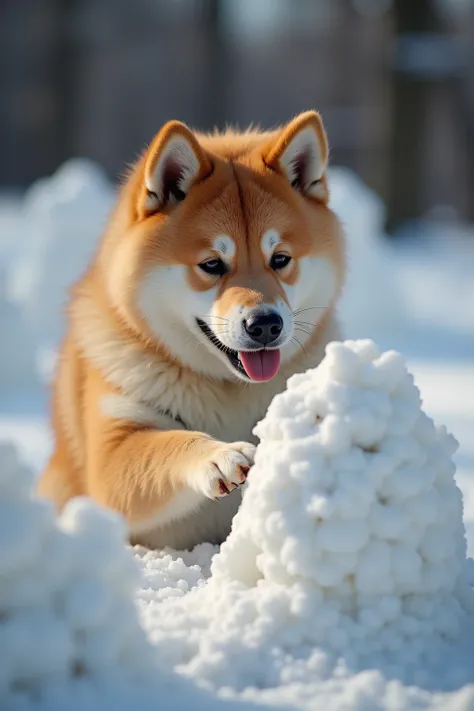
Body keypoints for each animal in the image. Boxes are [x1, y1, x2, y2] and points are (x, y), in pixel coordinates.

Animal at [38, 110, 344, 552]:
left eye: (280, 259)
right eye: (212, 264)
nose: (265, 324)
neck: (229, 392)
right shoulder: (114, 449)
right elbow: (168, 444)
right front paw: (218, 456)